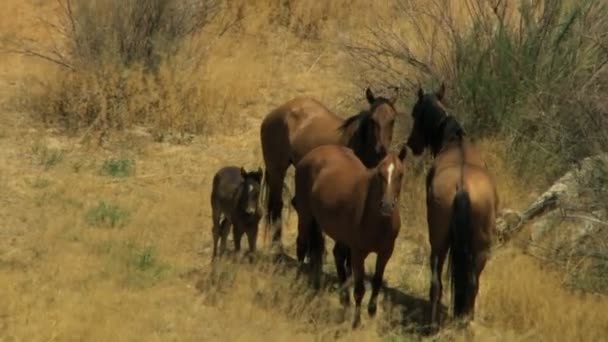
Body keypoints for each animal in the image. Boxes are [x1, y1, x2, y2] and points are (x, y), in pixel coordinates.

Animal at [260, 87, 400, 255]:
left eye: (392, 120)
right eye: (373, 120)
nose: (381, 151)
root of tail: (274, 113)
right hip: (277, 170)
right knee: (277, 205)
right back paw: (278, 247)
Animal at [292, 143, 406, 328]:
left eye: (400, 174)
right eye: (379, 173)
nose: (387, 206)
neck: (378, 220)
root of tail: (313, 153)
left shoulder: (386, 252)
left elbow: (377, 281)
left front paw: (372, 311)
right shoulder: (358, 253)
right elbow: (359, 288)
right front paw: (357, 322)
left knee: (335, 254)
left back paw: (343, 299)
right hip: (306, 215)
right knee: (302, 246)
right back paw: (297, 282)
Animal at [404, 83, 498, 332]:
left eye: (415, 113)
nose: (412, 144)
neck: (455, 142)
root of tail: (462, 187)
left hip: (438, 242)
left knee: (436, 282)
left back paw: (431, 325)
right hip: (481, 248)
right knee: (473, 284)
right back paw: (465, 322)